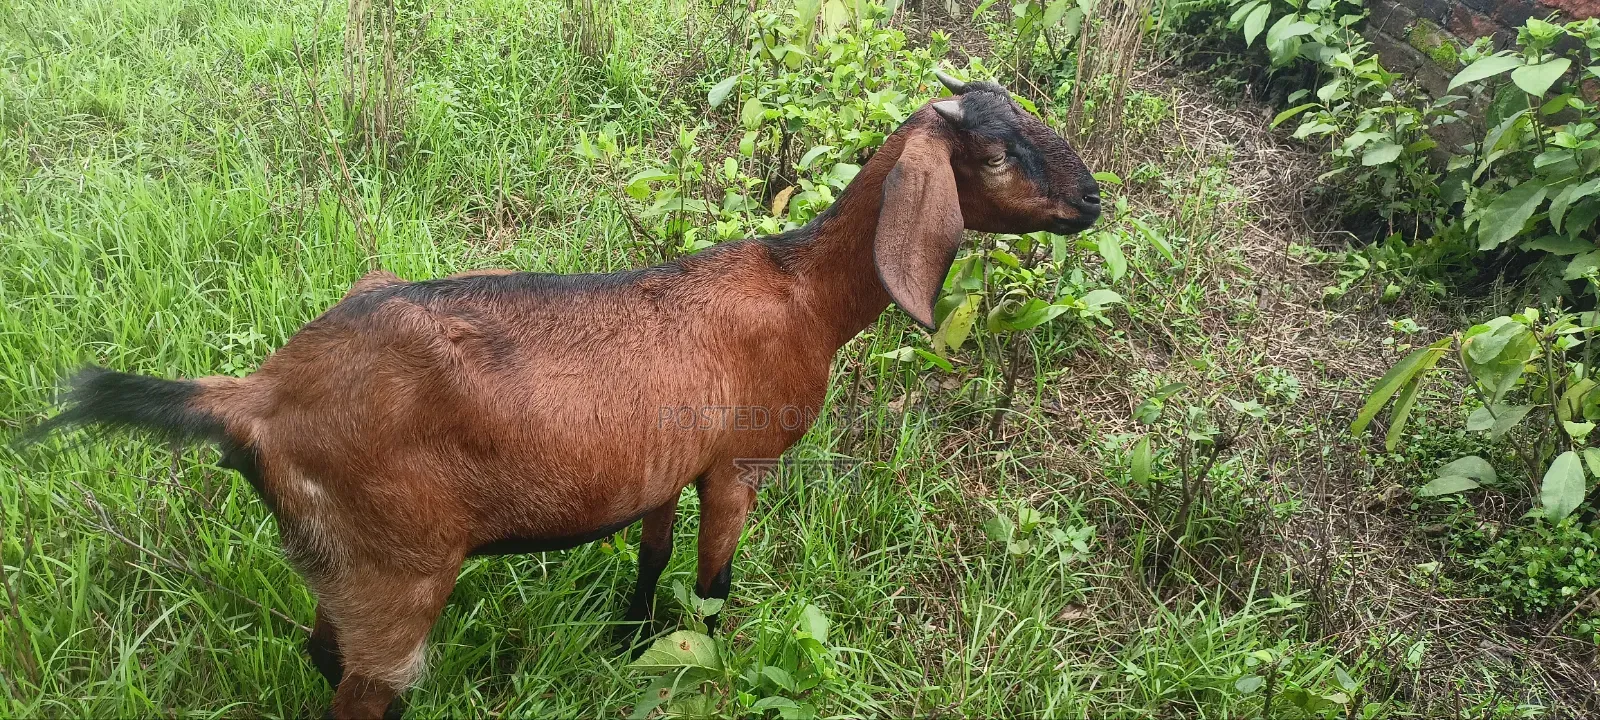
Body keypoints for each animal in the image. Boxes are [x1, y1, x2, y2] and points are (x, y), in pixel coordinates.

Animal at [23, 72, 1100, 719]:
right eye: (997, 154)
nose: (1092, 201)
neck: (802, 295)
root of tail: (258, 398)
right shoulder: (738, 462)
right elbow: (711, 591)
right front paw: (701, 670)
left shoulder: (666, 461)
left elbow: (654, 551)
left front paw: (627, 641)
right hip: (396, 568)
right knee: (362, 688)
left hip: (341, 563)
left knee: (325, 654)